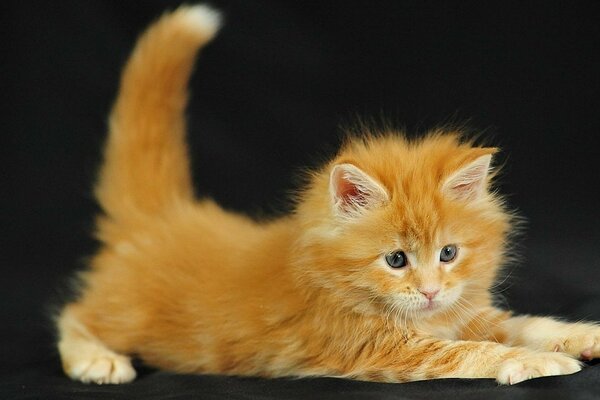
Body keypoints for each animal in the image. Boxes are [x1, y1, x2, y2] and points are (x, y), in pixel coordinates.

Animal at [56, 3, 600, 384]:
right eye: (396, 260)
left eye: (449, 253)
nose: (429, 291)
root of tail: (162, 216)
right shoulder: (375, 347)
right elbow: (470, 351)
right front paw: (534, 363)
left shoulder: (461, 312)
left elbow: (524, 323)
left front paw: (581, 336)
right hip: (129, 314)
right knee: (74, 314)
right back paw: (98, 361)